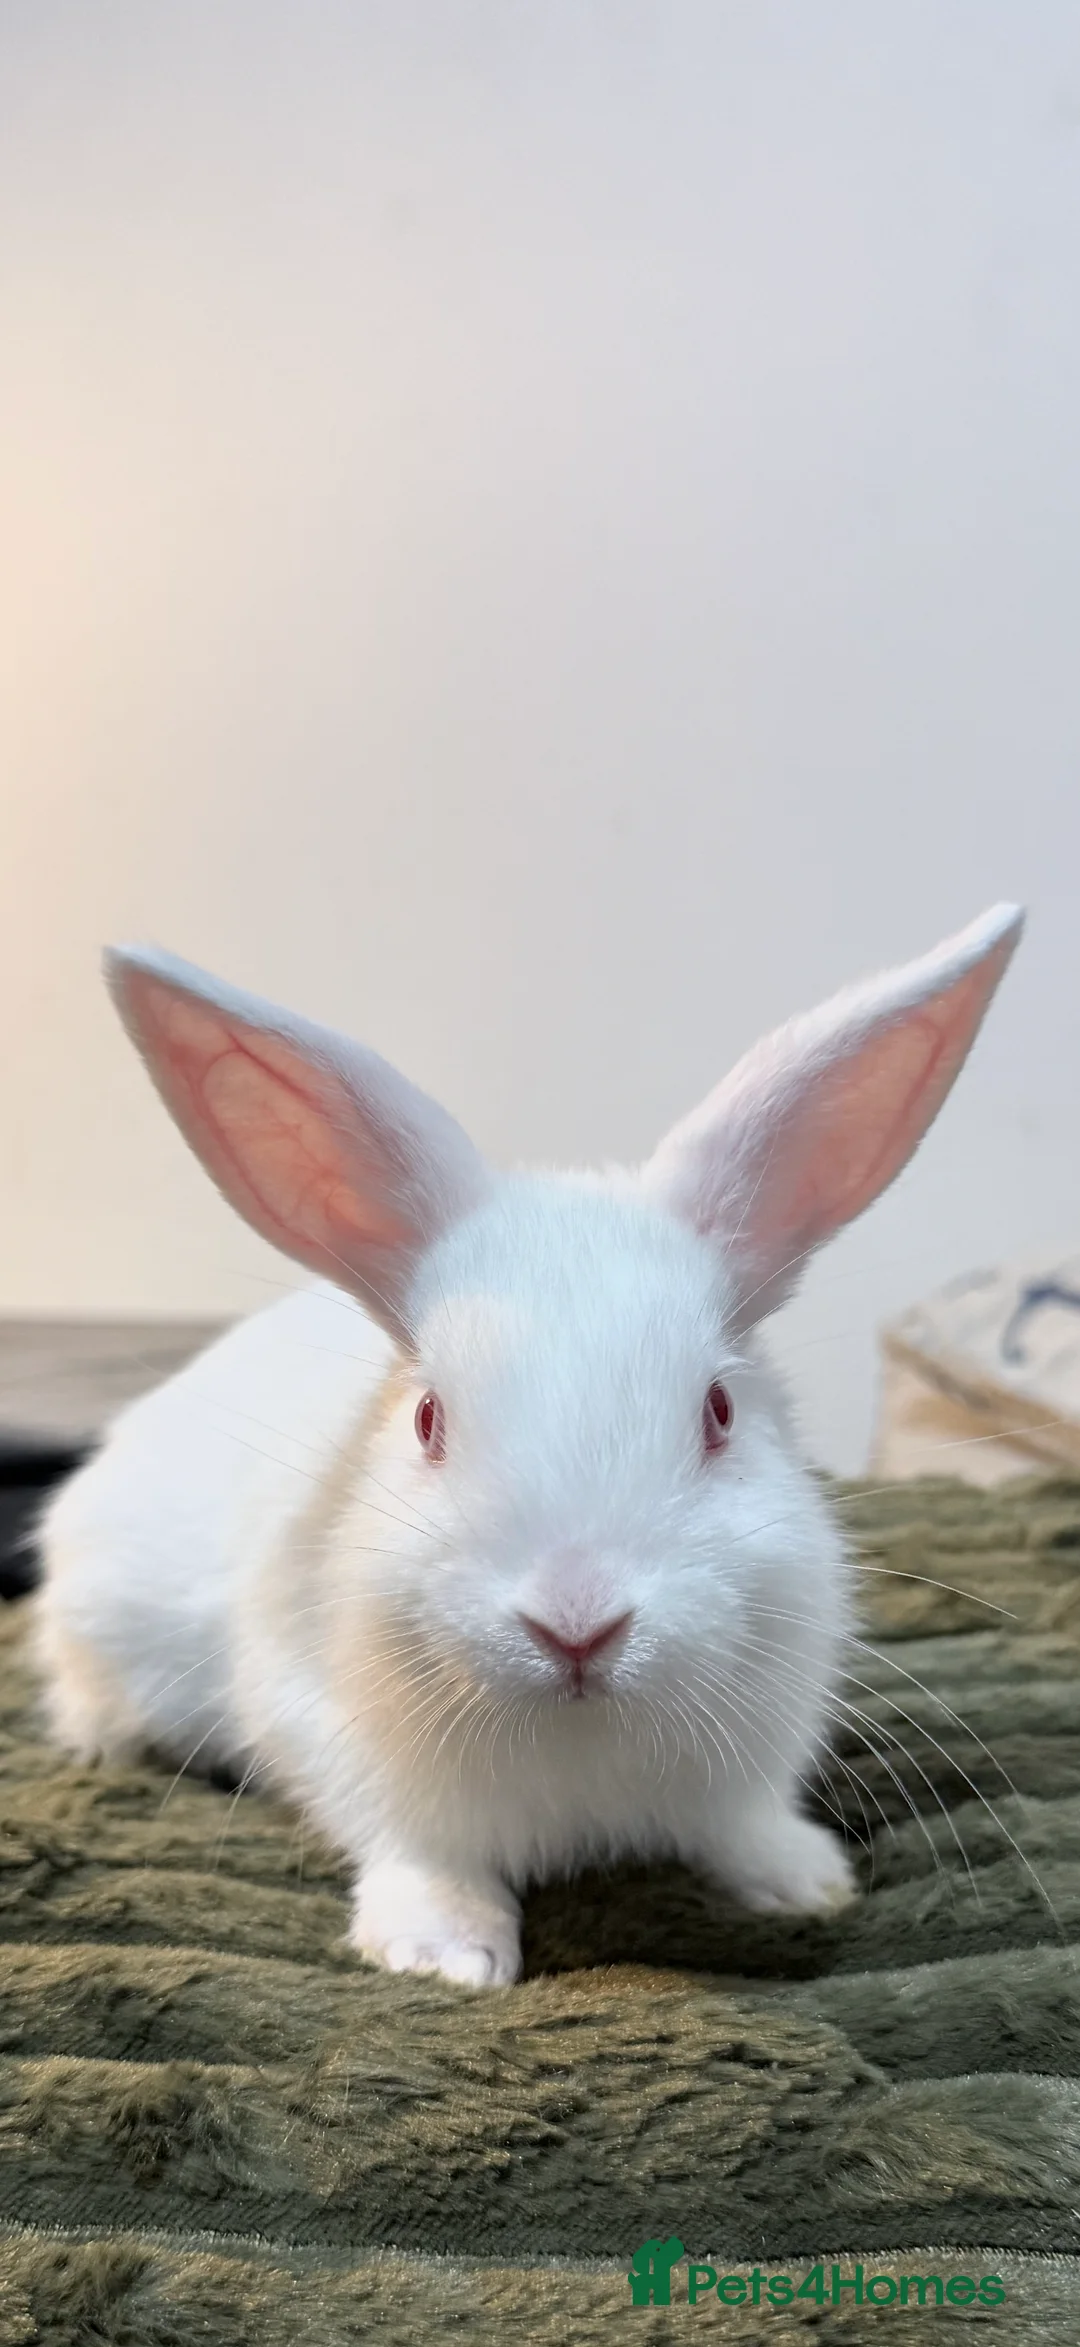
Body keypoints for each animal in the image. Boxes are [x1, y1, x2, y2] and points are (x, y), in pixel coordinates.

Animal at [36, 903, 1023, 1986]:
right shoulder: (328, 1730)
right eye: (428, 1417)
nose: (577, 1625)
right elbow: (420, 1851)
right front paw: (445, 1955)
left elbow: (739, 1827)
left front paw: (802, 1883)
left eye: (719, 1410)